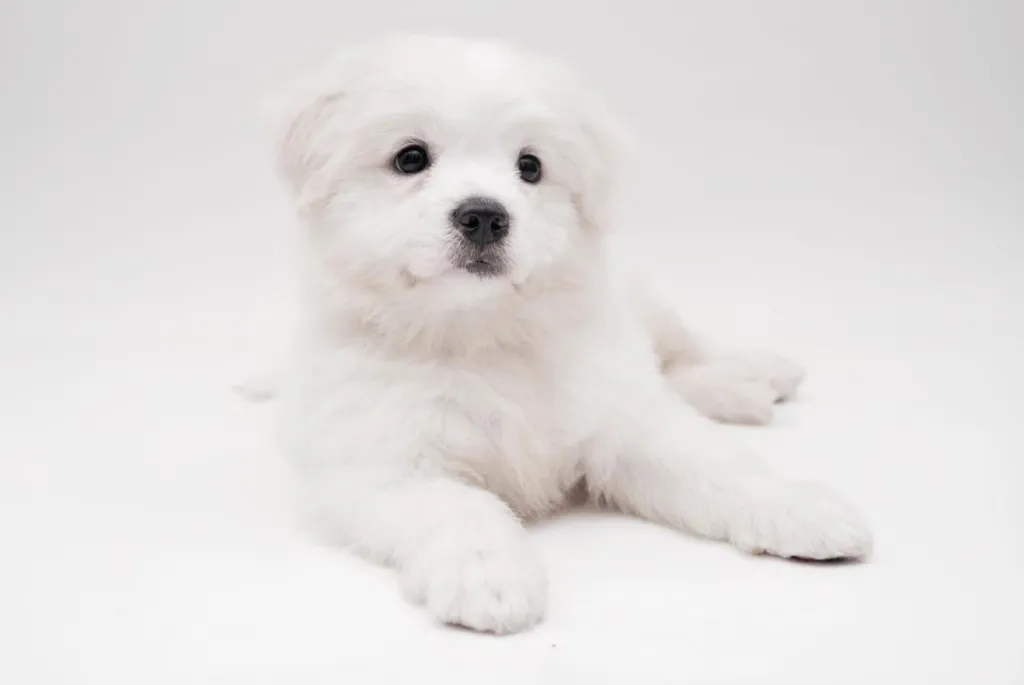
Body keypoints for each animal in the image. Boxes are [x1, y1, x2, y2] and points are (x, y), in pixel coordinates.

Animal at [264, 30, 872, 630]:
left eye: (530, 166)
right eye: (410, 158)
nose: (484, 216)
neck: (481, 334)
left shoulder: (625, 420)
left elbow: (715, 466)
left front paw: (799, 509)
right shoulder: (384, 465)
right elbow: (461, 507)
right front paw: (489, 578)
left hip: (645, 308)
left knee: (678, 358)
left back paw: (755, 377)